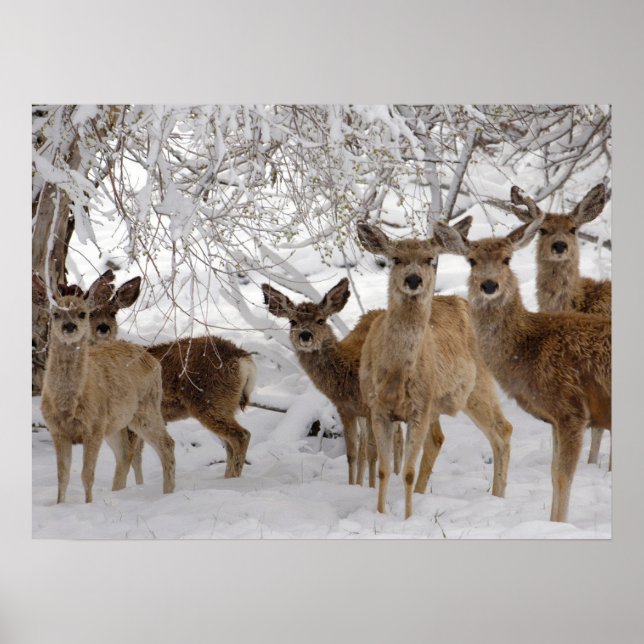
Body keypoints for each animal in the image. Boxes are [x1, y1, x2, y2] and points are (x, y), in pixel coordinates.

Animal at [32, 273, 176, 503]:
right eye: (55, 314)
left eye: (82, 313)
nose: (69, 327)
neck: (68, 404)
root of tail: (152, 359)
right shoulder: (57, 430)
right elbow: (62, 476)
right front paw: (60, 504)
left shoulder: (94, 427)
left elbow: (87, 475)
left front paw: (88, 504)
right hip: (117, 422)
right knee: (125, 454)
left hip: (146, 407)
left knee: (166, 444)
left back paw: (168, 493)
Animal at [88, 275, 257, 479]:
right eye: (89, 313)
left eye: (113, 313)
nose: (103, 327)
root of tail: (243, 359)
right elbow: (137, 459)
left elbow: (128, 457)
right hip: (225, 405)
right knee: (230, 445)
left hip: (211, 402)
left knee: (242, 436)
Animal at [262, 280, 406, 487]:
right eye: (292, 321)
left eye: (321, 320)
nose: (305, 335)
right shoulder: (345, 409)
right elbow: (353, 453)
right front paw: (353, 485)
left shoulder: (371, 407)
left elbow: (374, 452)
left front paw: (371, 487)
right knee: (367, 444)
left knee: (397, 436)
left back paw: (396, 475)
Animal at [356, 218, 513, 519]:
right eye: (396, 259)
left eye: (430, 259)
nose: (413, 279)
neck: (396, 374)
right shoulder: (377, 408)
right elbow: (383, 470)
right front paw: (381, 514)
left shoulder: (419, 408)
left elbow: (406, 471)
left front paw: (407, 518)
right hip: (440, 403)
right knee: (440, 439)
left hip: (477, 386)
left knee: (503, 429)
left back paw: (498, 498)